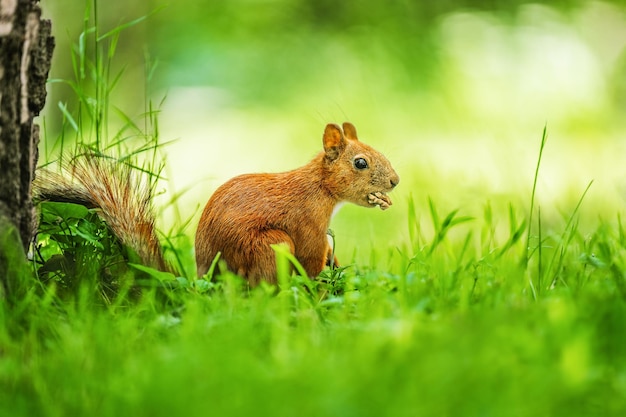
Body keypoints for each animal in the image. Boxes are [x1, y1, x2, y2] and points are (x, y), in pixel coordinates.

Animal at [34, 120, 398, 282]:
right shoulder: (308, 224)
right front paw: (321, 281)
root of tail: (206, 279)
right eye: (360, 163)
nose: (395, 181)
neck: (320, 188)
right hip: (269, 246)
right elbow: (311, 258)